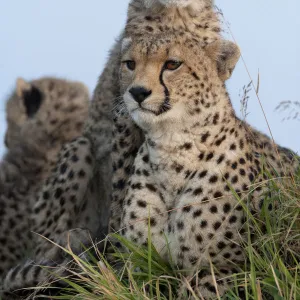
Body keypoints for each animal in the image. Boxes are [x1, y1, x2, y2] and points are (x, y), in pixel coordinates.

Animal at [118, 33, 298, 298]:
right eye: (130, 64)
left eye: (172, 64)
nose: (138, 92)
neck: (171, 148)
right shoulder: (138, 265)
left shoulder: (231, 268)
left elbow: (200, 285)